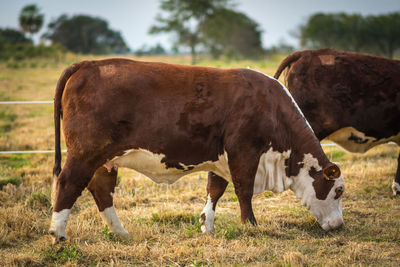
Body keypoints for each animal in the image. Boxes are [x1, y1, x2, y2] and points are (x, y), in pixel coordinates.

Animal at [49, 59, 344, 245]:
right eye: (339, 191)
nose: (340, 226)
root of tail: (88, 64)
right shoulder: (244, 152)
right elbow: (244, 190)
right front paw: (250, 225)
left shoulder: (222, 157)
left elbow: (216, 189)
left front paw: (207, 224)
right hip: (85, 153)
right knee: (68, 183)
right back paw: (58, 233)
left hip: (104, 159)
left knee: (101, 189)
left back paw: (121, 233)